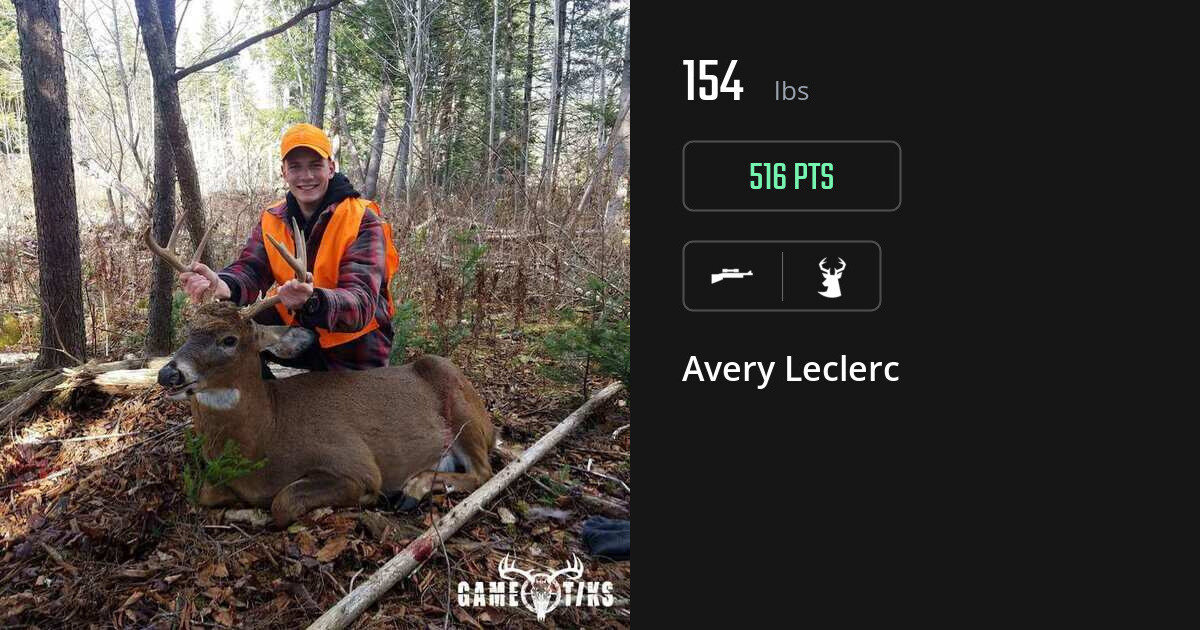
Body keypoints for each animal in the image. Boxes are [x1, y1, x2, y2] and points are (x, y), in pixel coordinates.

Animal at [143, 219, 495, 527]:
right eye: (189, 330)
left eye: (229, 340)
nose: (169, 374)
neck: (267, 433)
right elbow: (203, 493)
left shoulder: (354, 463)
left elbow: (283, 502)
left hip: (462, 411)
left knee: (483, 472)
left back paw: (412, 488)